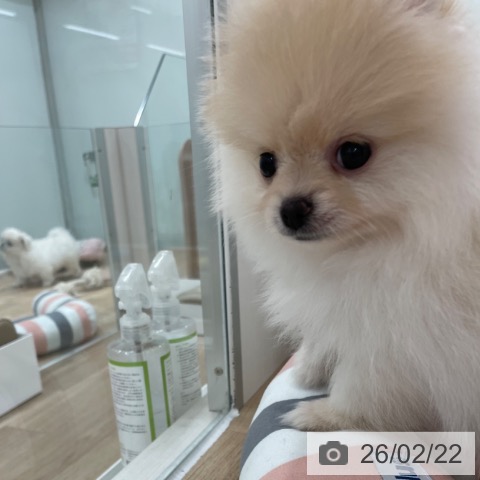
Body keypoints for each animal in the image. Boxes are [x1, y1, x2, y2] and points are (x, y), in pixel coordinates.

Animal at [203, 0, 480, 470]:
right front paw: (311, 365)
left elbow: (366, 383)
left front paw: (323, 415)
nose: (290, 209)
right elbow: (327, 331)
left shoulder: (407, 331)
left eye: (353, 153)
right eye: (266, 163)